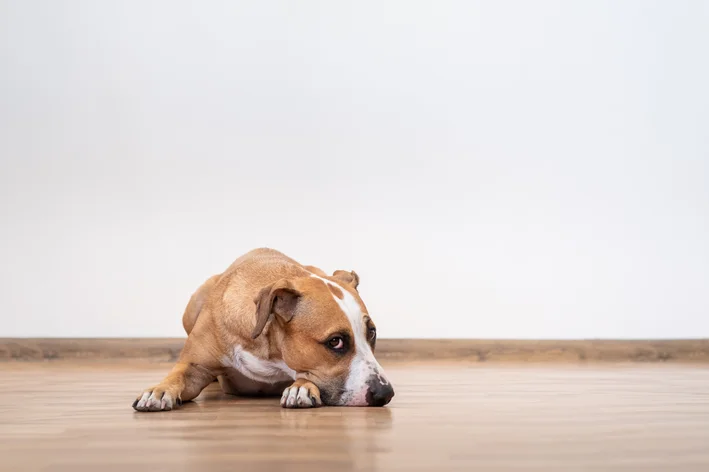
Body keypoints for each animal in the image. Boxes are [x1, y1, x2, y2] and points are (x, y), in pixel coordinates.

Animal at [131, 249, 392, 412]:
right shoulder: (194, 366)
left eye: (372, 333)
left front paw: (301, 387)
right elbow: (177, 375)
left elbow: (306, 375)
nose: (385, 393)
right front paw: (159, 390)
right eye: (335, 341)